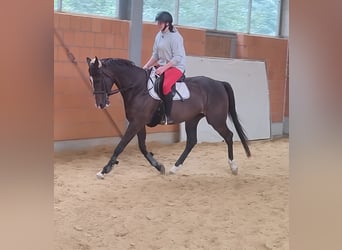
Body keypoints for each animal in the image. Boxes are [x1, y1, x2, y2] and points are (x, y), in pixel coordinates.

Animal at [85, 56, 251, 180]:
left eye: (99, 79)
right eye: (91, 80)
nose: (100, 104)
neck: (138, 87)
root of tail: (218, 83)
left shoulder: (136, 122)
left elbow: (121, 146)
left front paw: (104, 170)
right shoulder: (138, 123)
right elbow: (142, 147)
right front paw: (159, 166)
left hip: (215, 119)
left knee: (228, 135)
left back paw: (233, 167)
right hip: (192, 119)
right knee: (191, 141)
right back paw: (174, 168)